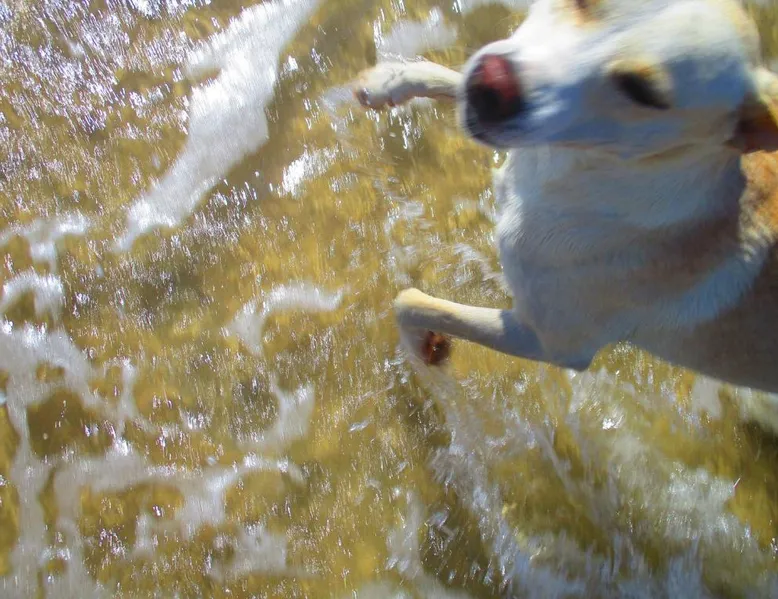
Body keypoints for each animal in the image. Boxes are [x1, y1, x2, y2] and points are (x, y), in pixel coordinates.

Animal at [353, 0, 778, 395]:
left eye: (643, 92)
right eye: (583, 3)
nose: (492, 85)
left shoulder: (547, 343)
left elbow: (413, 302)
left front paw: (420, 346)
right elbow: (456, 75)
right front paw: (392, 80)